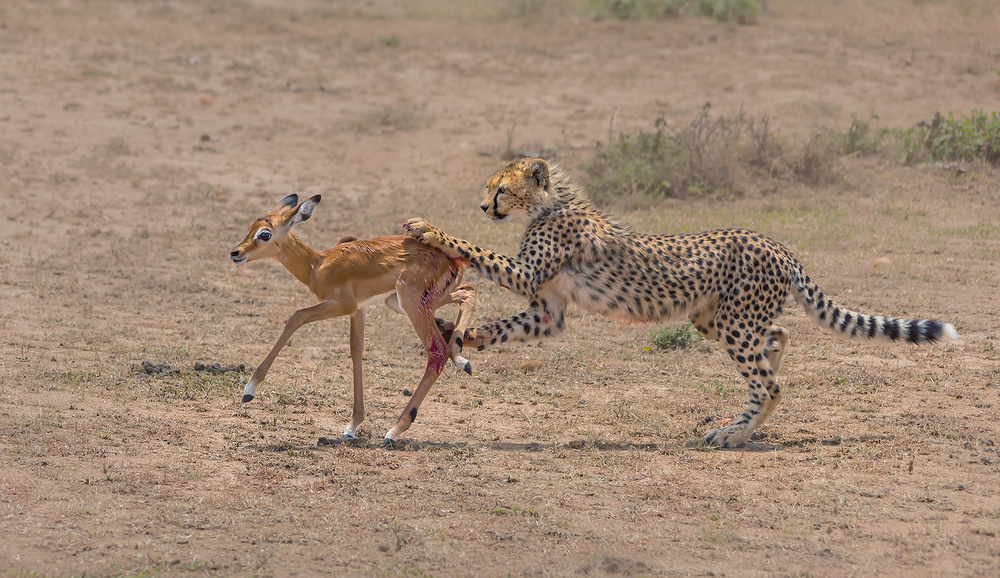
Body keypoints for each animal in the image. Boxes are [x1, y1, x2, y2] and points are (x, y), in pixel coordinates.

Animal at [402, 156, 956, 446]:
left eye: (499, 189)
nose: (482, 206)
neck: (550, 204)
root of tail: (776, 243)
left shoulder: (526, 275)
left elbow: (476, 250)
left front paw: (429, 229)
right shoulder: (549, 311)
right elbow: (510, 324)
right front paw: (469, 336)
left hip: (733, 323)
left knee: (771, 383)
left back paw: (734, 433)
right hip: (715, 318)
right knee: (778, 337)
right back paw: (747, 419)